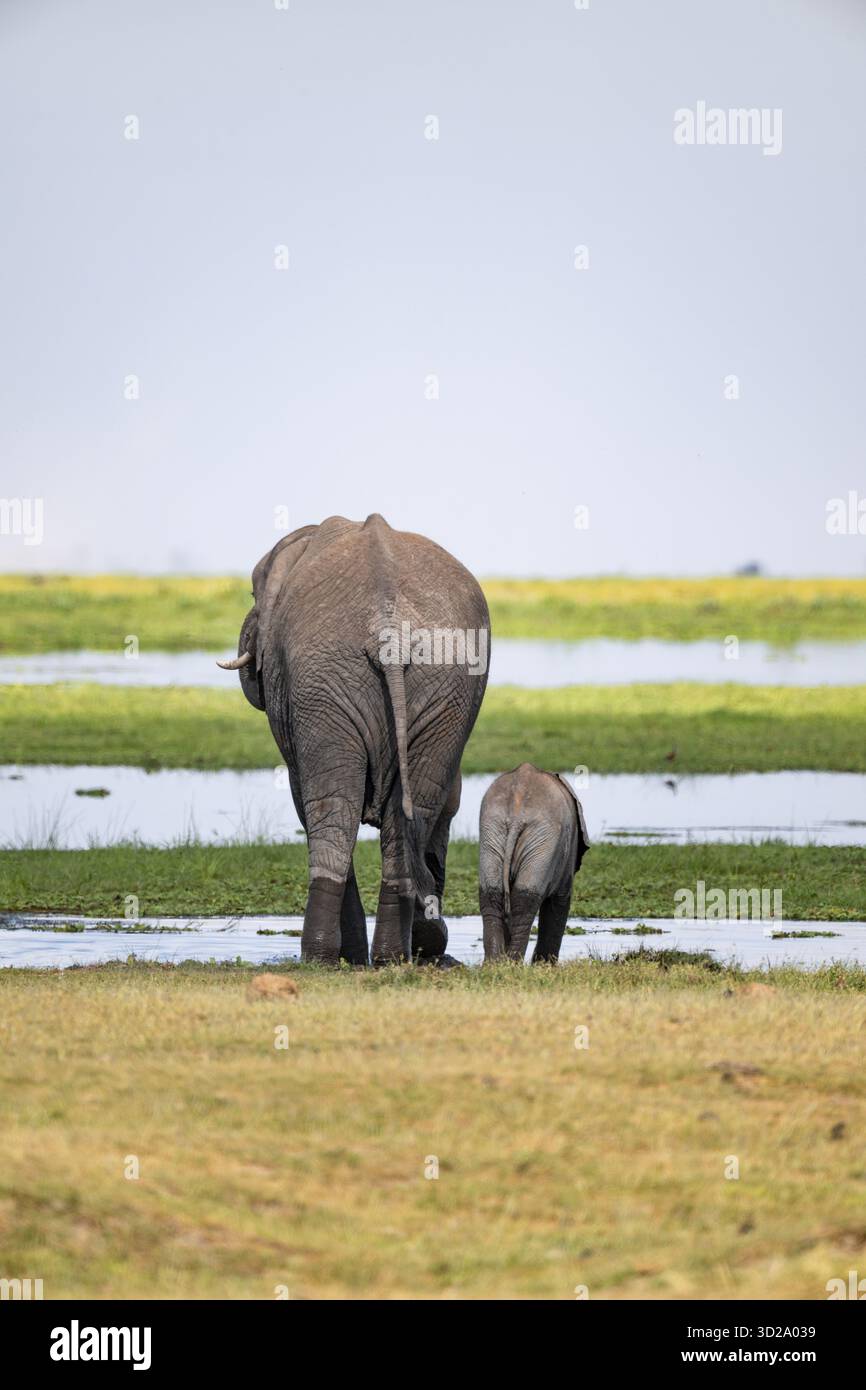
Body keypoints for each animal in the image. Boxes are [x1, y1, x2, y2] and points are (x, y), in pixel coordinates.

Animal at [218, 513, 490, 966]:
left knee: (331, 812)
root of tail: (388, 627)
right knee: (410, 814)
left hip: (324, 681)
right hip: (443, 681)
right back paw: (391, 956)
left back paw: (325, 958)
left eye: (254, 593)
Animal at [478, 763, 590, 964]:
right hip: (543, 838)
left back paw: (494, 964)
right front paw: (544, 965)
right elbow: (559, 902)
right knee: (525, 900)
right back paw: (513, 963)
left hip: (491, 830)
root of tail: (516, 814)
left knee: (492, 894)